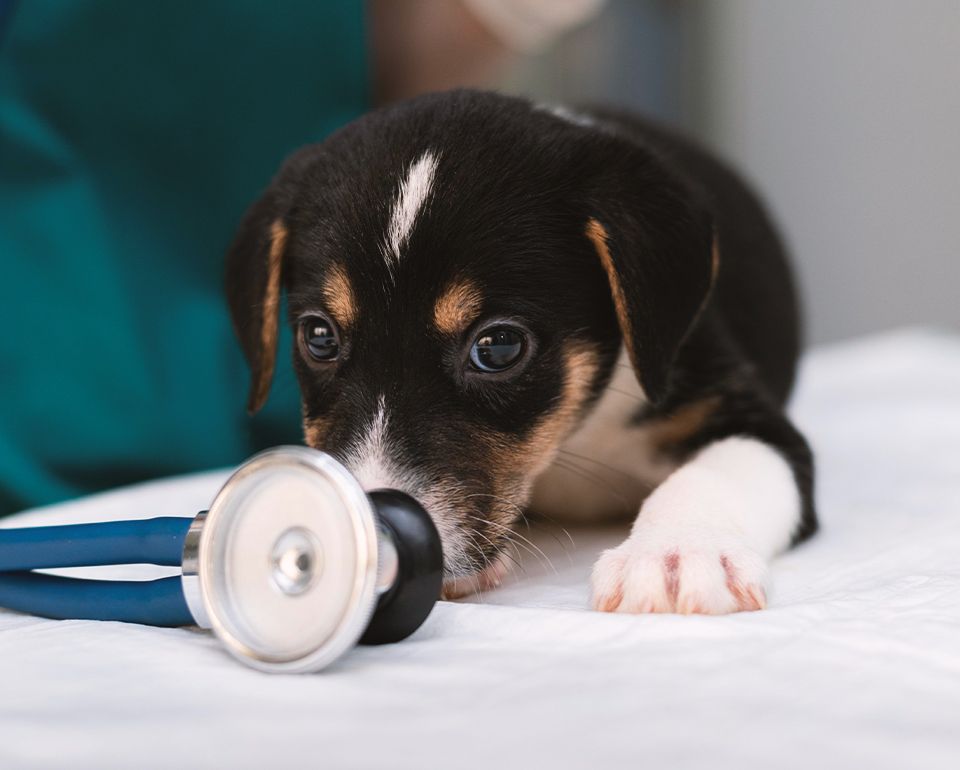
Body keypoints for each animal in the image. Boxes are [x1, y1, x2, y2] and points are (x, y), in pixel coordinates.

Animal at [227, 88, 816, 612]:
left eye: (498, 346)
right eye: (319, 337)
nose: (375, 537)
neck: (574, 437)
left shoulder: (749, 418)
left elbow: (715, 473)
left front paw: (677, 554)